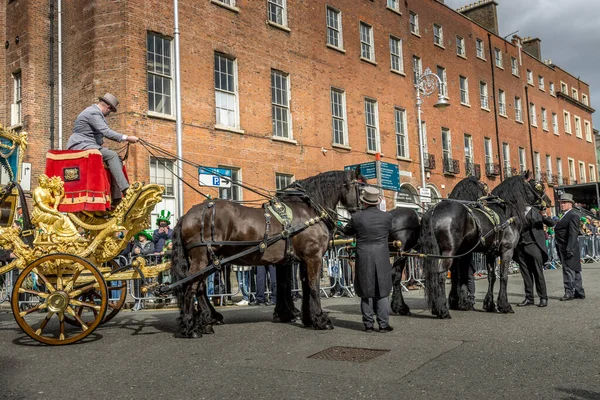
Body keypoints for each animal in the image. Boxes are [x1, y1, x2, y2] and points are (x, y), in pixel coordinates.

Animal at [171, 169, 364, 338]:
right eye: (362, 188)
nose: (364, 212)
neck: (309, 209)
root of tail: (186, 216)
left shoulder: (301, 260)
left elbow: (302, 287)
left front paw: (307, 318)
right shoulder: (313, 257)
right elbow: (313, 287)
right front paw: (320, 319)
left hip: (212, 260)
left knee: (199, 287)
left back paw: (205, 320)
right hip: (202, 259)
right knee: (190, 287)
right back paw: (190, 327)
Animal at [422, 172, 544, 318]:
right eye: (538, 186)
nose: (547, 202)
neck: (504, 214)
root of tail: (434, 210)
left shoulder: (490, 253)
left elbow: (491, 277)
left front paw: (489, 304)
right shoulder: (506, 251)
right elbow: (503, 276)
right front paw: (504, 305)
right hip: (448, 253)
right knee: (440, 275)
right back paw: (442, 310)